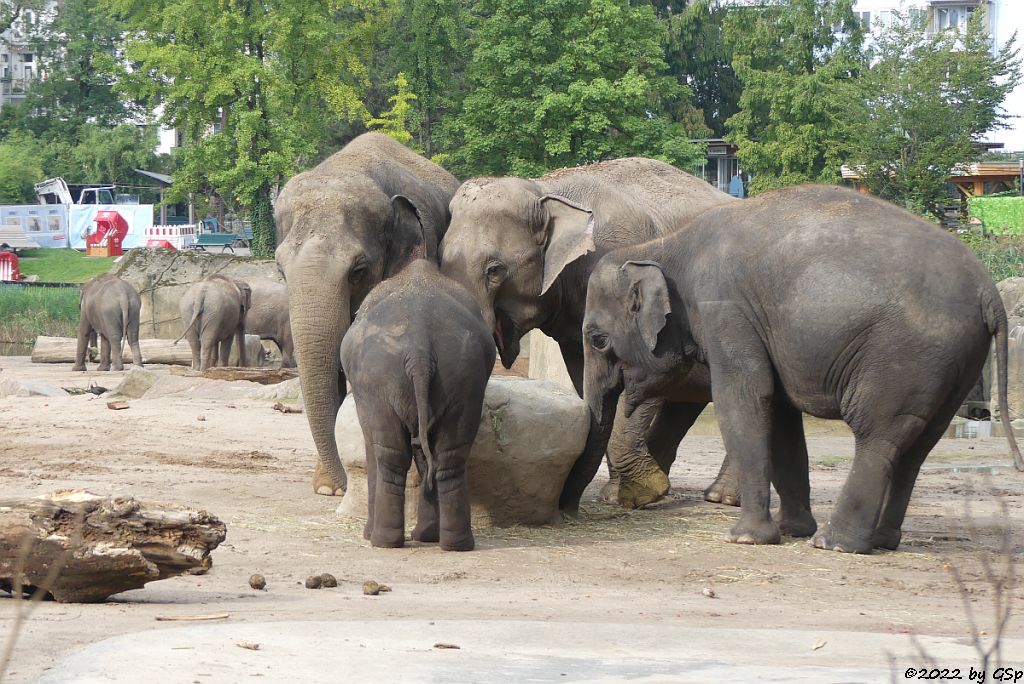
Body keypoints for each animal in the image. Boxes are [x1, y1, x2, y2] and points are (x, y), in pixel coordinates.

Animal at [339, 250, 495, 548]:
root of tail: (420, 349)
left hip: (379, 381)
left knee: (388, 455)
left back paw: (382, 540)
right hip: (462, 376)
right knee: (449, 455)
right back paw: (455, 544)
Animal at [440, 158, 737, 511]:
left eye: (494, 270)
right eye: (440, 261)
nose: (565, 504)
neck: (546, 189)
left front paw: (640, 493)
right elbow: (587, 377)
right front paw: (629, 493)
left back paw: (721, 497)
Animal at [585, 184, 1024, 552]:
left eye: (597, 340)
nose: (622, 504)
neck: (665, 244)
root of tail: (988, 290)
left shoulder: (725, 311)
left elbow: (744, 399)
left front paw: (746, 539)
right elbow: (779, 412)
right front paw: (791, 530)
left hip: (907, 357)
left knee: (878, 436)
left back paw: (836, 544)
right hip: (956, 362)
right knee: (917, 445)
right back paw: (879, 541)